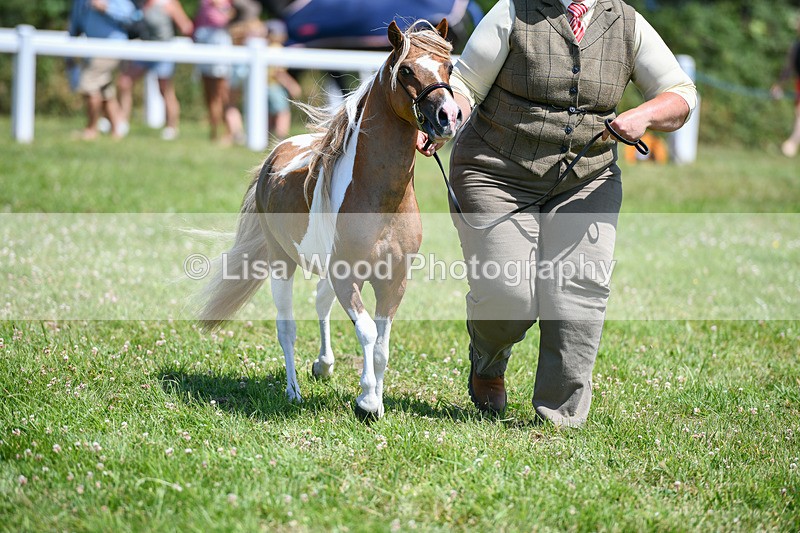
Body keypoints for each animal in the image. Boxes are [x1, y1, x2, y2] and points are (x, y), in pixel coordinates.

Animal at [199, 19, 462, 419]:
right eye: (405, 70)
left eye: (449, 66)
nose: (448, 117)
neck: (380, 200)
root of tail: (276, 155)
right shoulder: (346, 275)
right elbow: (367, 331)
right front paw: (367, 402)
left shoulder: (393, 280)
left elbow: (382, 343)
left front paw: (376, 398)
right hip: (282, 262)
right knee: (287, 327)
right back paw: (293, 391)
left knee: (321, 304)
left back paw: (323, 365)